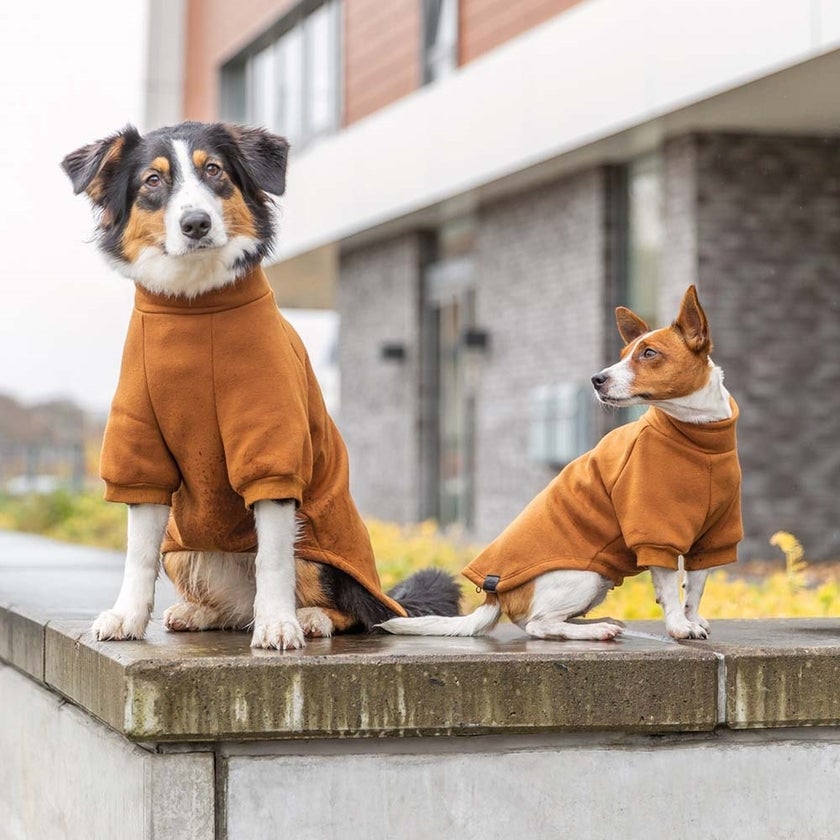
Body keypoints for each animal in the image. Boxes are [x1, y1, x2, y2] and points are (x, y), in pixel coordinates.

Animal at [63, 123, 460, 648]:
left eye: (214, 170)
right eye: (152, 180)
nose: (196, 223)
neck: (197, 307)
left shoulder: (273, 448)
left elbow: (273, 556)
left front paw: (278, 624)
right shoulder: (141, 448)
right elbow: (138, 552)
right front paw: (126, 616)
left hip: (318, 550)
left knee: (354, 611)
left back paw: (309, 618)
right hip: (181, 545)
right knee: (229, 608)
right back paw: (199, 611)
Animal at [380, 288, 740, 644]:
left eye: (649, 353)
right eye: (624, 354)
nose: (597, 379)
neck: (697, 435)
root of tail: (495, 596)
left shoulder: (714, 536)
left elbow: (695, 586)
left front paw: (692, 618)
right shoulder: (655, 533)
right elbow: (669, 588)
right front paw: (679, 625)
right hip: (587, 575)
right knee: (539, 625)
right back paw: (595, 630)